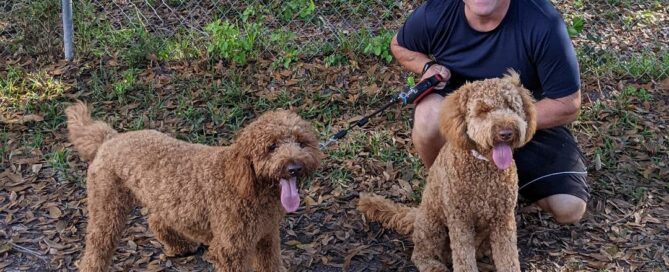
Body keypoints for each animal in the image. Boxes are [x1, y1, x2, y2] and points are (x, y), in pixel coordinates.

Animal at [66, 102, 322, 272]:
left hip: (166, 199)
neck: (250, 186)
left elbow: (270, 263)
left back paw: (180, 246)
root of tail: (110, 138)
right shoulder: (231, 249)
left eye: (302, 142)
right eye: (271, 147)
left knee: (157, 221)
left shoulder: (267, 237)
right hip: (107, 205)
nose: (294, 168)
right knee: (97, 245)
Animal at [358, 71, 536, 270]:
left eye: (511, 107)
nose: (506, 132)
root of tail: (417, 214)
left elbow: (508, 259)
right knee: (420, 254)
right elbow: (464, 260)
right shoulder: (460, 220)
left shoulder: (503, 220)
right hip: (433, 225)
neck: (484, 166)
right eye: (482, 111)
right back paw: (433, 266)